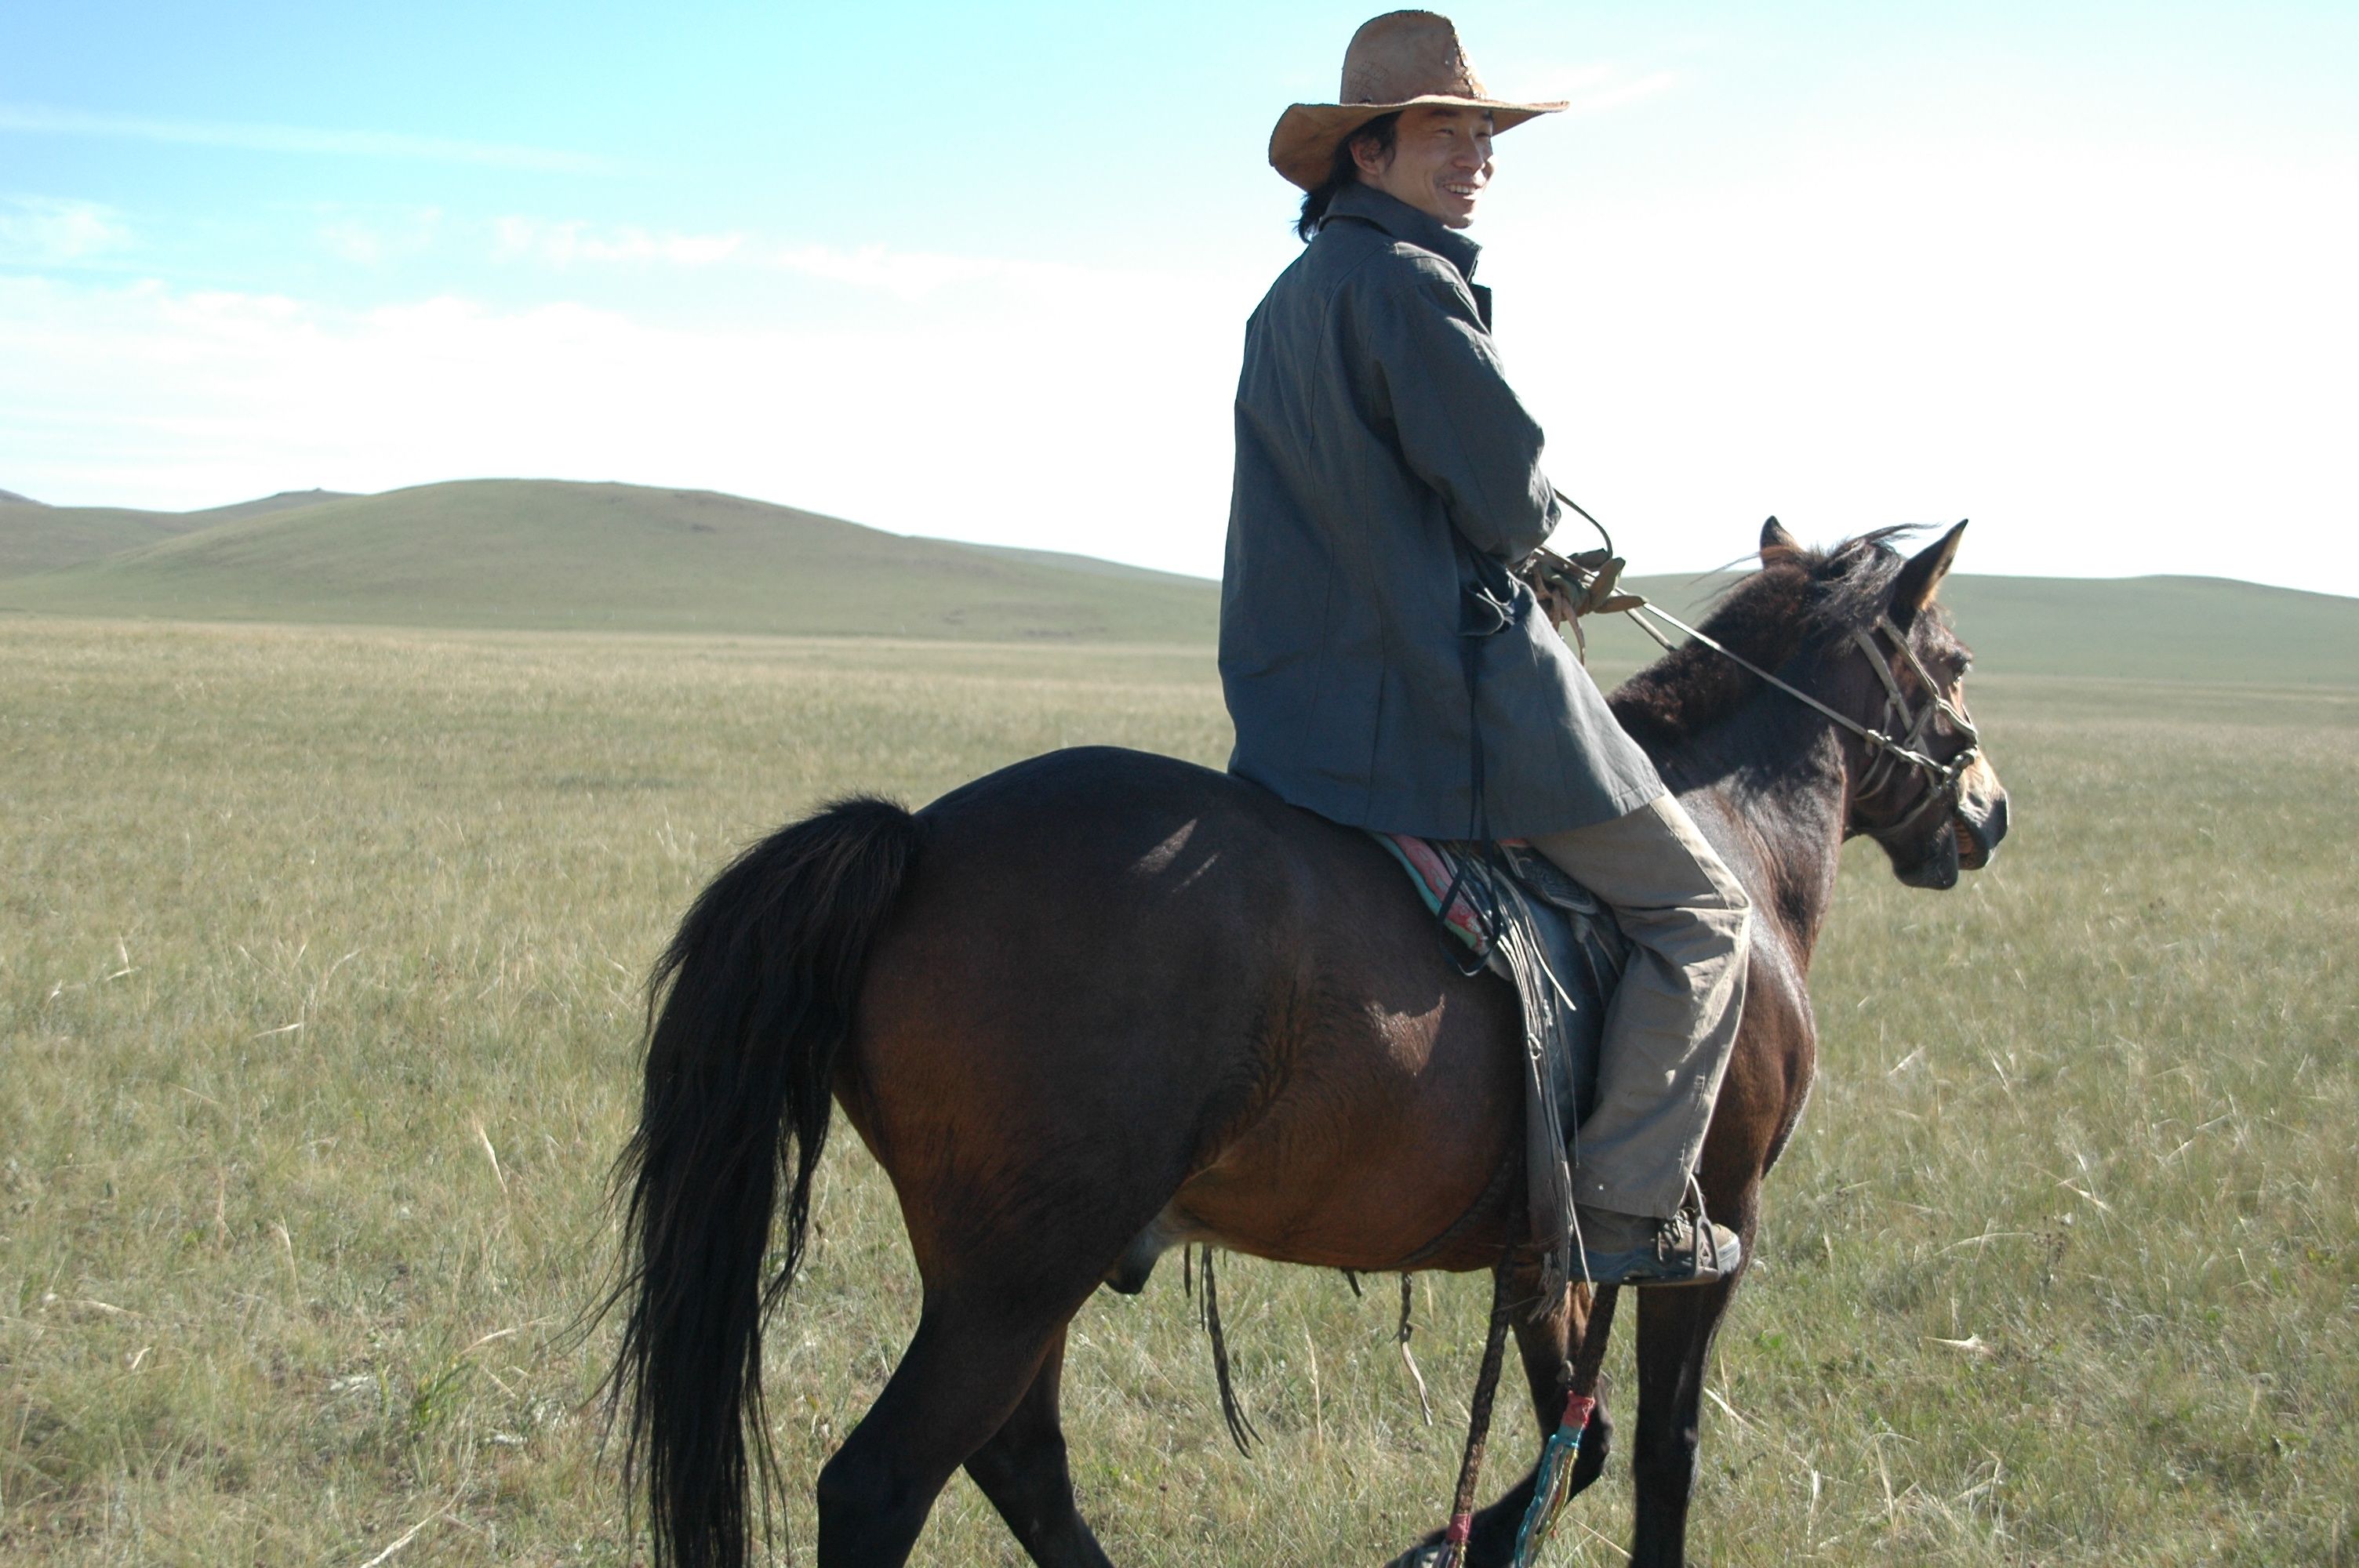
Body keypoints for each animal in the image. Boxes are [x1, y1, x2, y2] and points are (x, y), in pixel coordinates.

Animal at [604, 518, 2009, 1555]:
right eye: (1951, 662)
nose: (1989, 813)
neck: (1735, 841)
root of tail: (917, 842)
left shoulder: (1547, 1247)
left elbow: (1583, 1438)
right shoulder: (1717, 1224)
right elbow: (1662, 1450)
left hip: (1010, 1267)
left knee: (1019, 1460)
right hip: (1019, 1270)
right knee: (885, 1483)